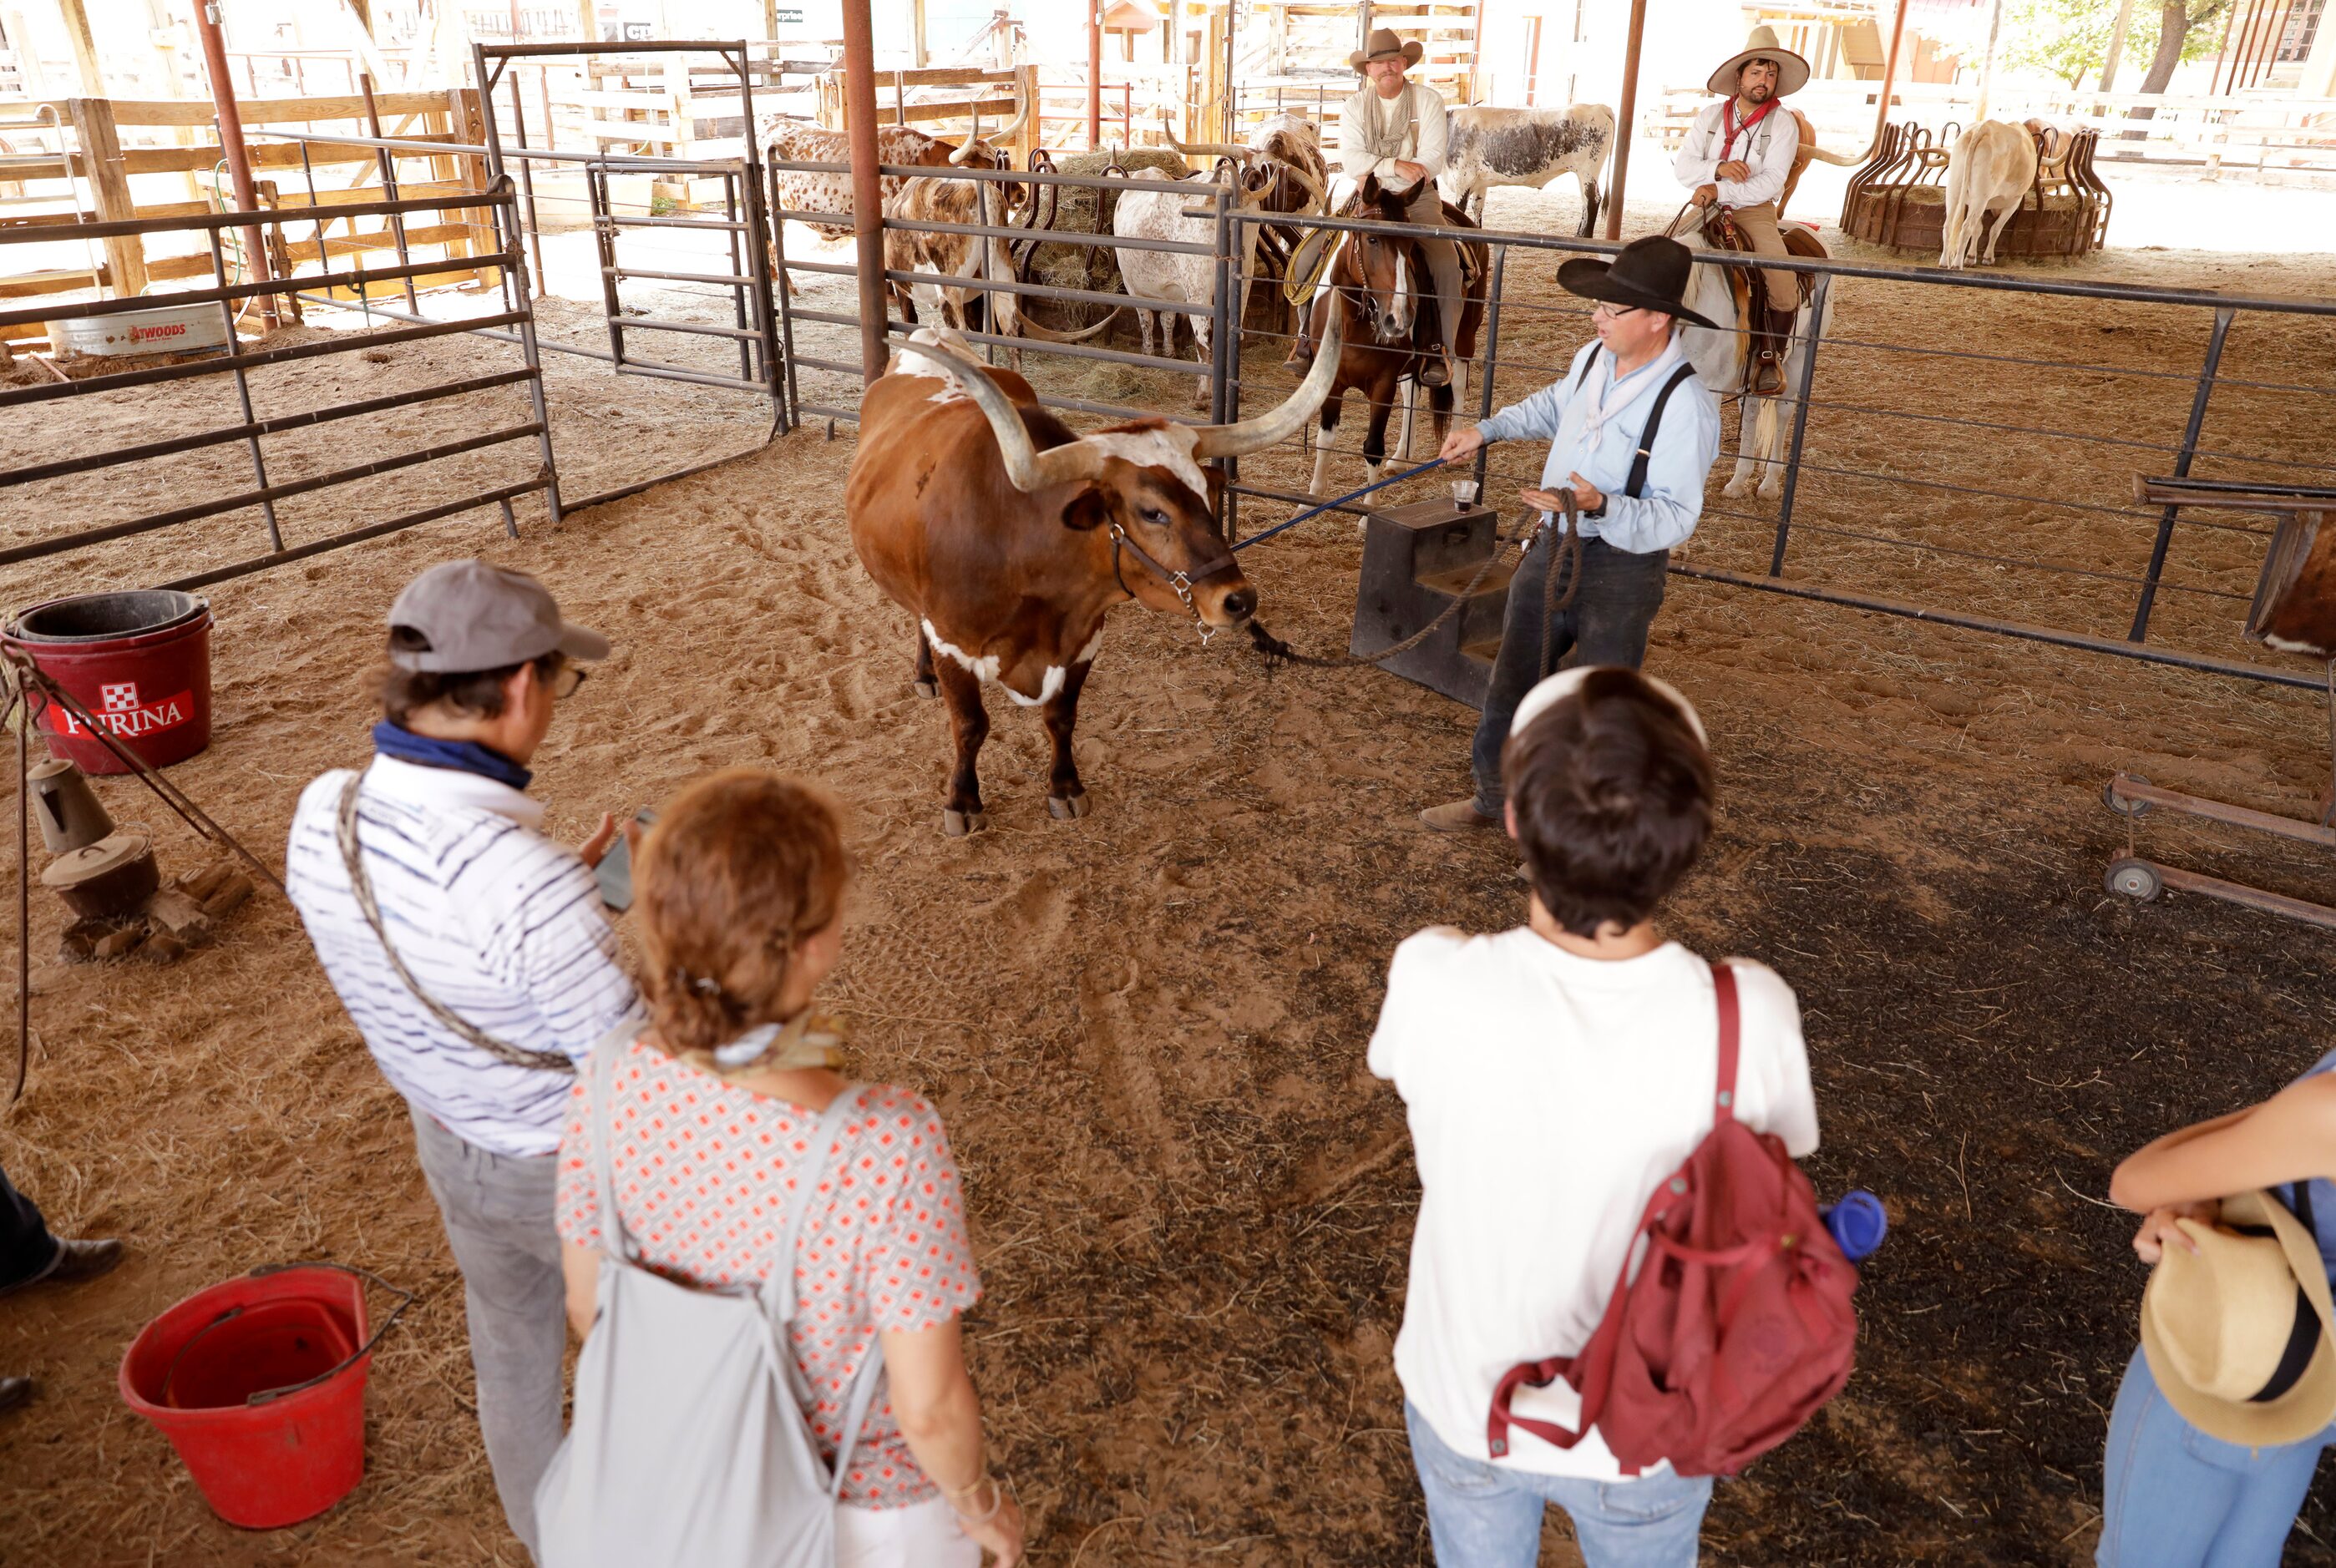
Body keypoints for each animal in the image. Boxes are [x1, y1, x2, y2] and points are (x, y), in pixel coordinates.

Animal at [850, 315, 1345, 832]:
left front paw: (1065, 788)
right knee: (915, 616)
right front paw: (963, 801)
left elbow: (1061, 718)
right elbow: (970, 726)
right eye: (1152, 512)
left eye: (1206, 495)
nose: (1240, 599)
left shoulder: (1084, 639)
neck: (1021, 547)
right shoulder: (954, 642)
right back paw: (923, 673)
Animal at [1308, 180, 1485, 509]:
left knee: (1456, 384)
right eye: (1372, 239)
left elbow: (1373, 446)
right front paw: (1310, 499)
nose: (1399, 318)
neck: (1352, 323)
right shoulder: (1330, 380)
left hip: (1465, 335)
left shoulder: (1383, 383)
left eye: (1412, 244)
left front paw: (1368, 512)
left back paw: (1456, 451)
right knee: (1411, 393)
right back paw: (1402, 455)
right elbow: (1324, 440)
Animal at [1429, 103, 1616, 235]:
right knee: (1586, 202)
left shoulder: (1463, 179)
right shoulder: (1480, 182)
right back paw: (1578, 234)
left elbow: (1460, 209)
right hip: (1584, 173)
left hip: (1588, 171)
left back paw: (1585, 237)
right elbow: (1478, 209)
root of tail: (1597, 107)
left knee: (1592, 200)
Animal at [1943, 119, 2036, 270]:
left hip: (1954, 190)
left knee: (1948, 225)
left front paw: (1971, 257)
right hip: (1981, 197)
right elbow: (1995, 229)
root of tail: (1984, 127)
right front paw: (1988, 258)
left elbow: (1979, 229)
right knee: (1966, 227)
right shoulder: (2013, 203)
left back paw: (1944, 262)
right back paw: (1957, 265)